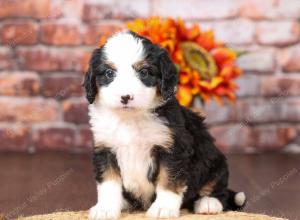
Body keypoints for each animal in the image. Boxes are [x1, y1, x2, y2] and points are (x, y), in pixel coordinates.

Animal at [82, 31, 246, 220]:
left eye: (144, 72)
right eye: (109, 73)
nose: (125, 97)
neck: (130, 118)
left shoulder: (173, 148)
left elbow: (168, 180)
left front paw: (163, 208)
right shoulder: (105, 148)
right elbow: (109, 183)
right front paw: (105, 208)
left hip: (214, 159)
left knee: (219, 189)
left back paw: (208, 203)